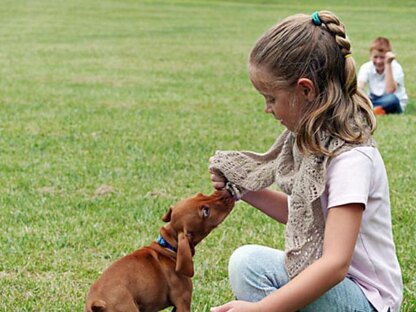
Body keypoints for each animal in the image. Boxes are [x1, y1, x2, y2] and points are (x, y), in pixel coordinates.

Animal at [84, 189, 234, 310]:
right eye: (205, 211)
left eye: (201, 195)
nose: (228, 191)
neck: (169, 246)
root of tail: (96, 302)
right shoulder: (182, 302)